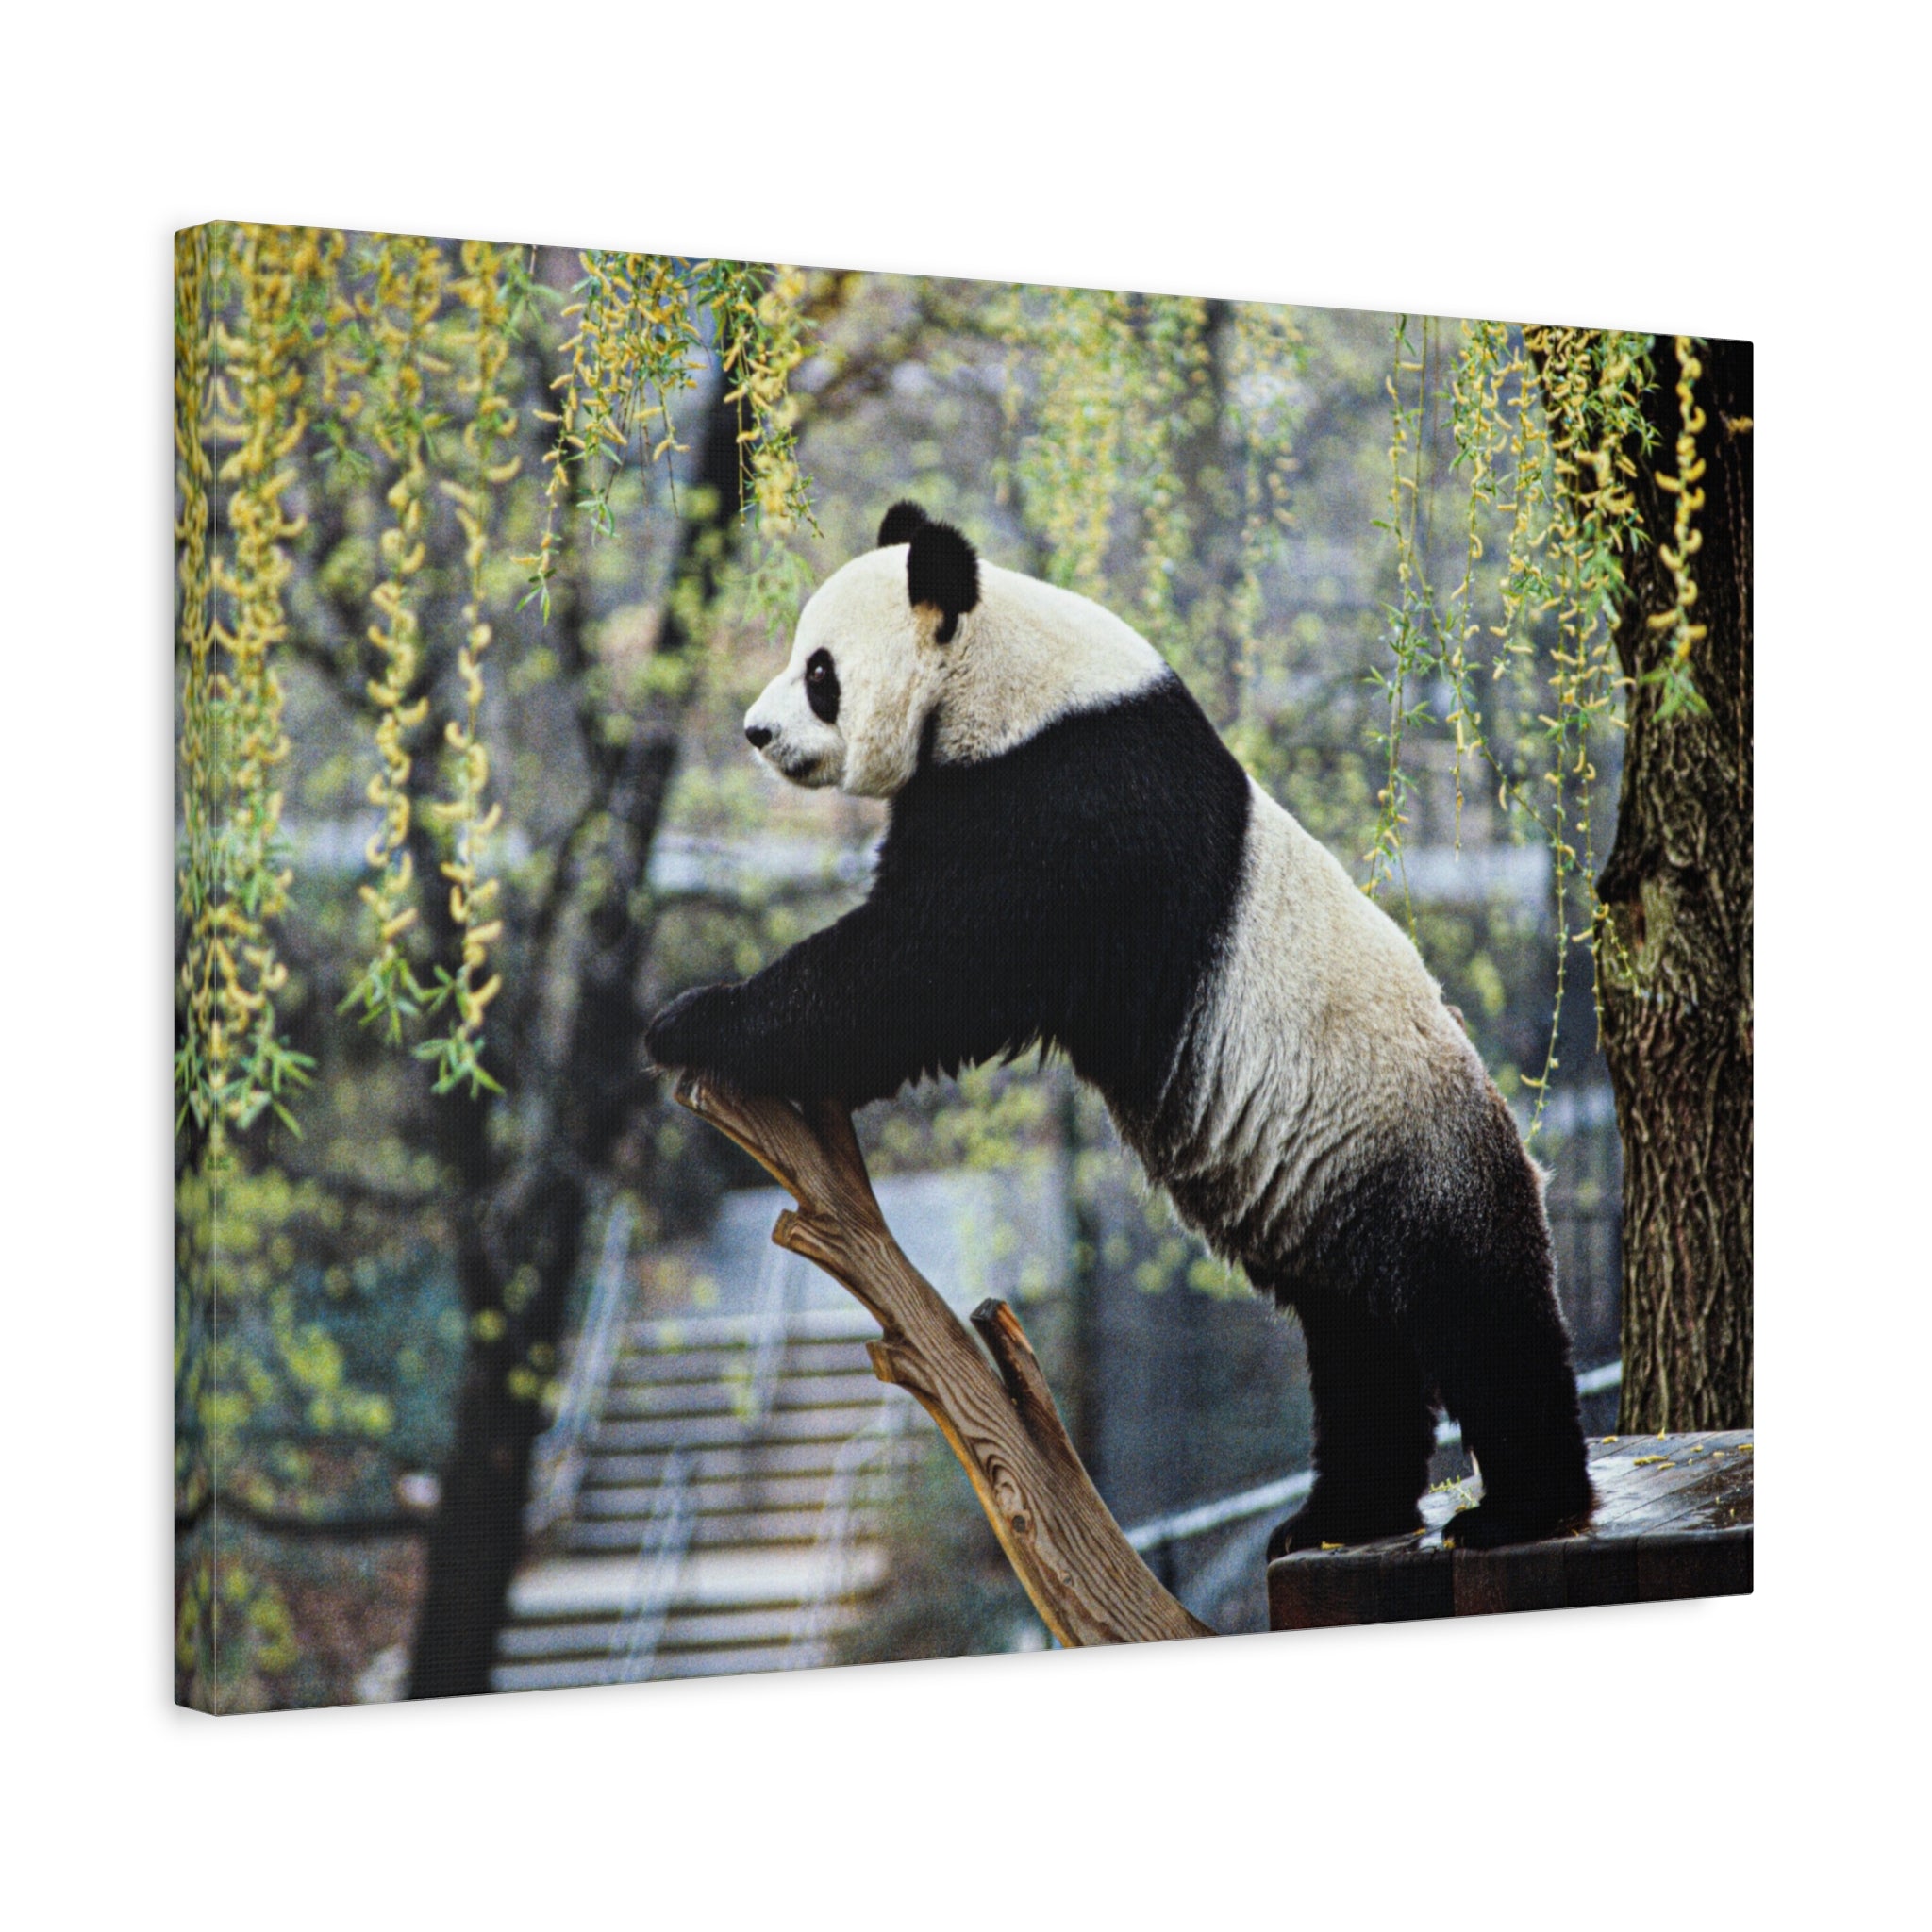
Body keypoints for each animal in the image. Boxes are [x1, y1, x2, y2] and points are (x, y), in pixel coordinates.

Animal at [647, 501, 1593, 1553]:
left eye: (820, 671)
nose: (756, 730)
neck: (1006, 673)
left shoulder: (1067, 801)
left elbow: (924, 967)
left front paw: (696, 1021)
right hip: (1336, 1193)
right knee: (1357, 1344)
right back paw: (1340, 1515)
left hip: (1414, 1154)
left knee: (1478, 1317)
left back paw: (1518, 1507)